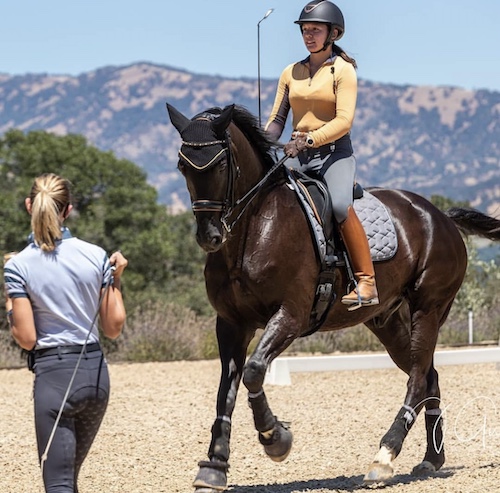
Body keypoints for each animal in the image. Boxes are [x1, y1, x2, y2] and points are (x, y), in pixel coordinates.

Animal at [166, 102, 500, 490]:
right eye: (183, 166)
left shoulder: (291, 314)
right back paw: (432, 458)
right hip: (387, 321)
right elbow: (226, 389)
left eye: (220, 165)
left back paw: (384, 457)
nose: (210, 237)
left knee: (418, 378)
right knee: (429, 376)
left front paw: (276, 438)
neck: (253, 229)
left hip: (428, 309)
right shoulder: (231, 323)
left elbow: (253, 371)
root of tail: (439, 216)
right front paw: (214, 466)